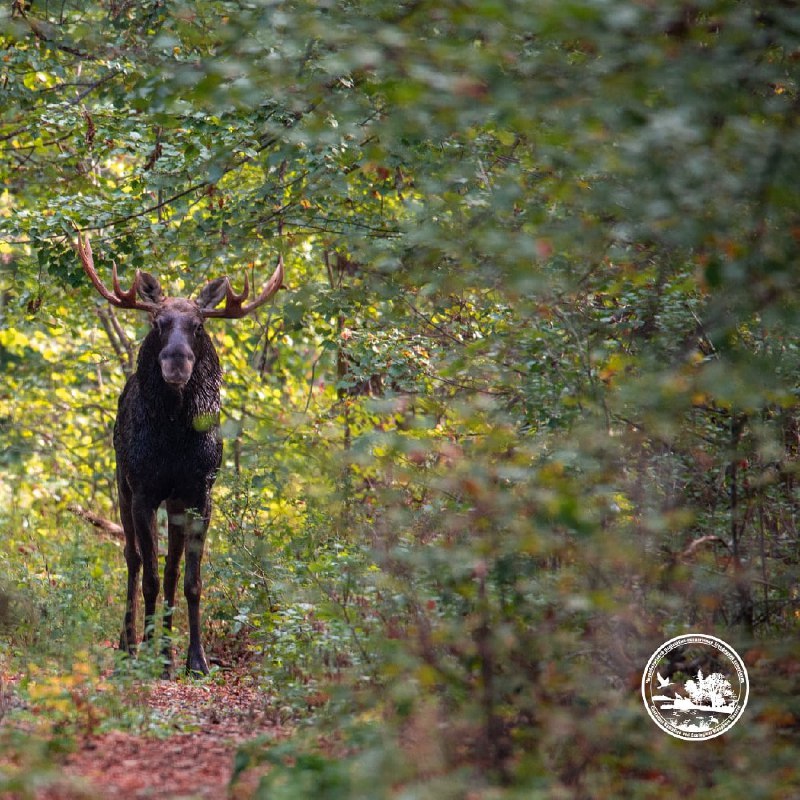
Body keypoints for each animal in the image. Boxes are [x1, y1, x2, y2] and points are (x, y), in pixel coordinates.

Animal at [72, 231, 284, 676]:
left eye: (199, 326)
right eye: (157, 322)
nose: (176, 362)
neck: (173, 443)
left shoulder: (199, 493)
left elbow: (189, 580)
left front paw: (194, 659)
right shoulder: (143, 490)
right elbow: (150, 576)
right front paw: (148, 651)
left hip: (173, 502)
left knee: (170, 568)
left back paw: (165, 650)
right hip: (122, 487)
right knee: (133, 559)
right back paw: (130, 644)